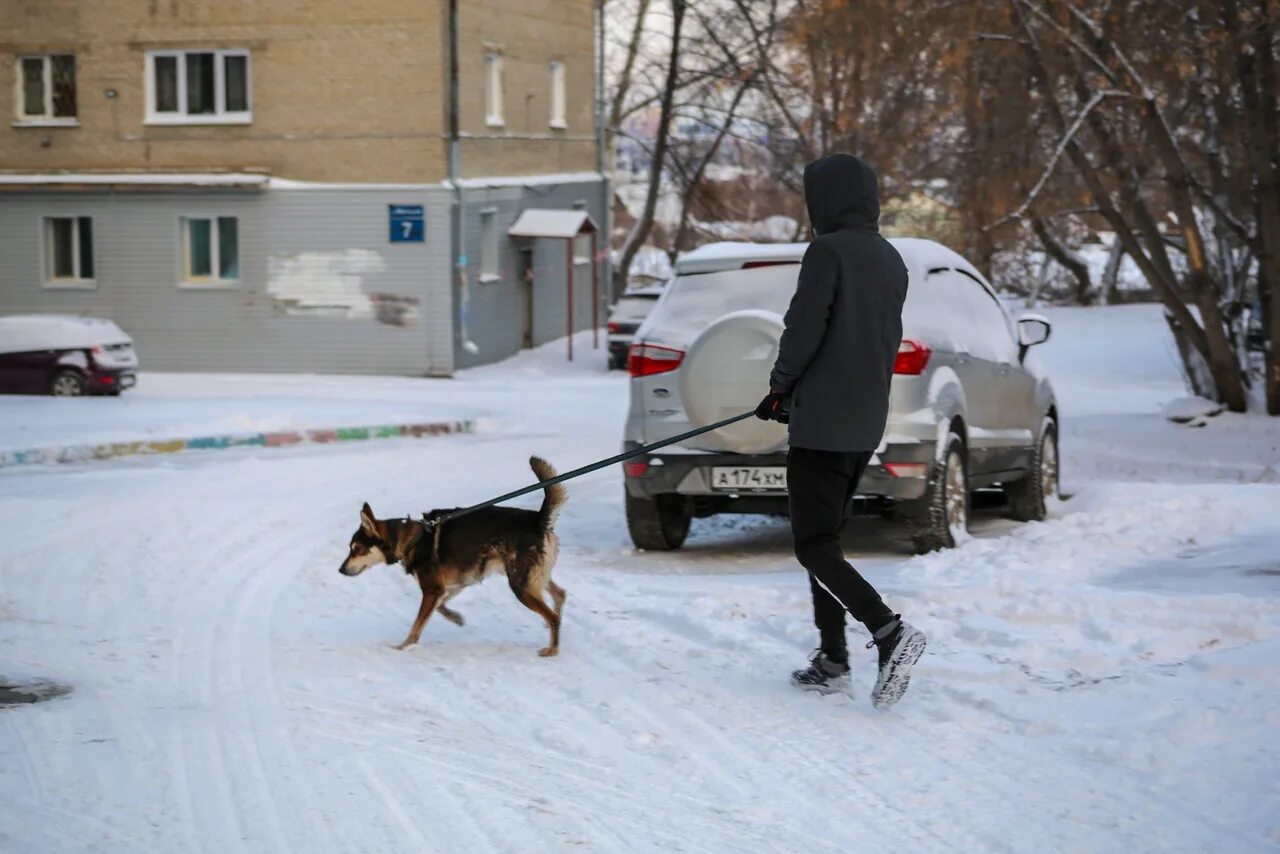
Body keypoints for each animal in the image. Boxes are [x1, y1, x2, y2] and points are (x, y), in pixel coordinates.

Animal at [337, 458, 568, 660]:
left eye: (356, 549)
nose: (341, 570)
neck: (412, 539)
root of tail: (538, 520)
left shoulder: (432, 589)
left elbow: (417, 625)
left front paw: (404, 646)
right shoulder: (451, 586)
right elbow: (440, 608)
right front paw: (456, 618)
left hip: (521, 585)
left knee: (554, 616)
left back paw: (553, 648)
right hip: (532, 578)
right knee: (559, 595)